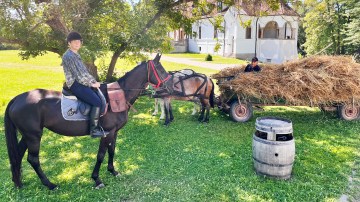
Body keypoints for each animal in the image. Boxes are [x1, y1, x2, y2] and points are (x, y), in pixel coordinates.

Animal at [4, 53, 170, 189]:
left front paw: (113, 171)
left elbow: (112, 151)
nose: (169, 87)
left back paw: (18, 182)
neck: (118, 97)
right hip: (33, 136)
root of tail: (17, 99)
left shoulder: (114, 132)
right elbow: (101, 155)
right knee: (33, 159)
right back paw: (49, 184)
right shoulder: (107, 133)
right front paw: (97, 179)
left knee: (19, 155)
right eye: (161, 69)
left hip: (28, 135)